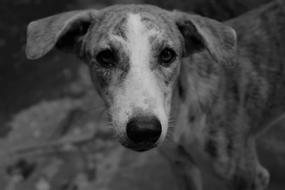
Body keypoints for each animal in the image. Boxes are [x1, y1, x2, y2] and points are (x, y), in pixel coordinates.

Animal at [25, 0, 284, 189]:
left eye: (167, 54)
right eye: (105, 56)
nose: (144, 131)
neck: (182, 115)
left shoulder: (247, 176)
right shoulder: (181, 167)